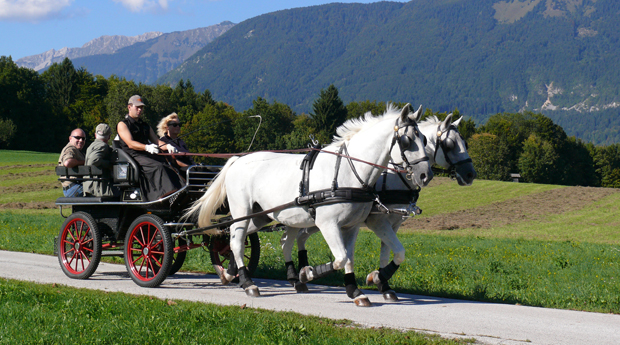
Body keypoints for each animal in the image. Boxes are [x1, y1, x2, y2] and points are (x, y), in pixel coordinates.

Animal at [184, 103, 432, 306]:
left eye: (425, 140)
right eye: (407, 140)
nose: (425, 175)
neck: (347, 172)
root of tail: (238, 159)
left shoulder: (351, 227)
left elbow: (350, 258)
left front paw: (355, 291)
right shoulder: (329, 224)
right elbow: (340, 258)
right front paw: (310, 273)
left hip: (261, 215)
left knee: (239, 237)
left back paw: (230, 273)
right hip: (241, 210)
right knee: (236, 241)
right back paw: (248, 283)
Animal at [280, 112, 474, 298]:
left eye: (464, 142)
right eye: (450, 144)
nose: (470, 174)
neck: (396, 176)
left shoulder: (393, 224)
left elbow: (391, 253)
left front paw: (382, 283)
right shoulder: (378, 221)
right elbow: (396, 252)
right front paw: (377, 278)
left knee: (299, 238)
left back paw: (302, 272)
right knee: (288, 242)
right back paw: (296, 276)